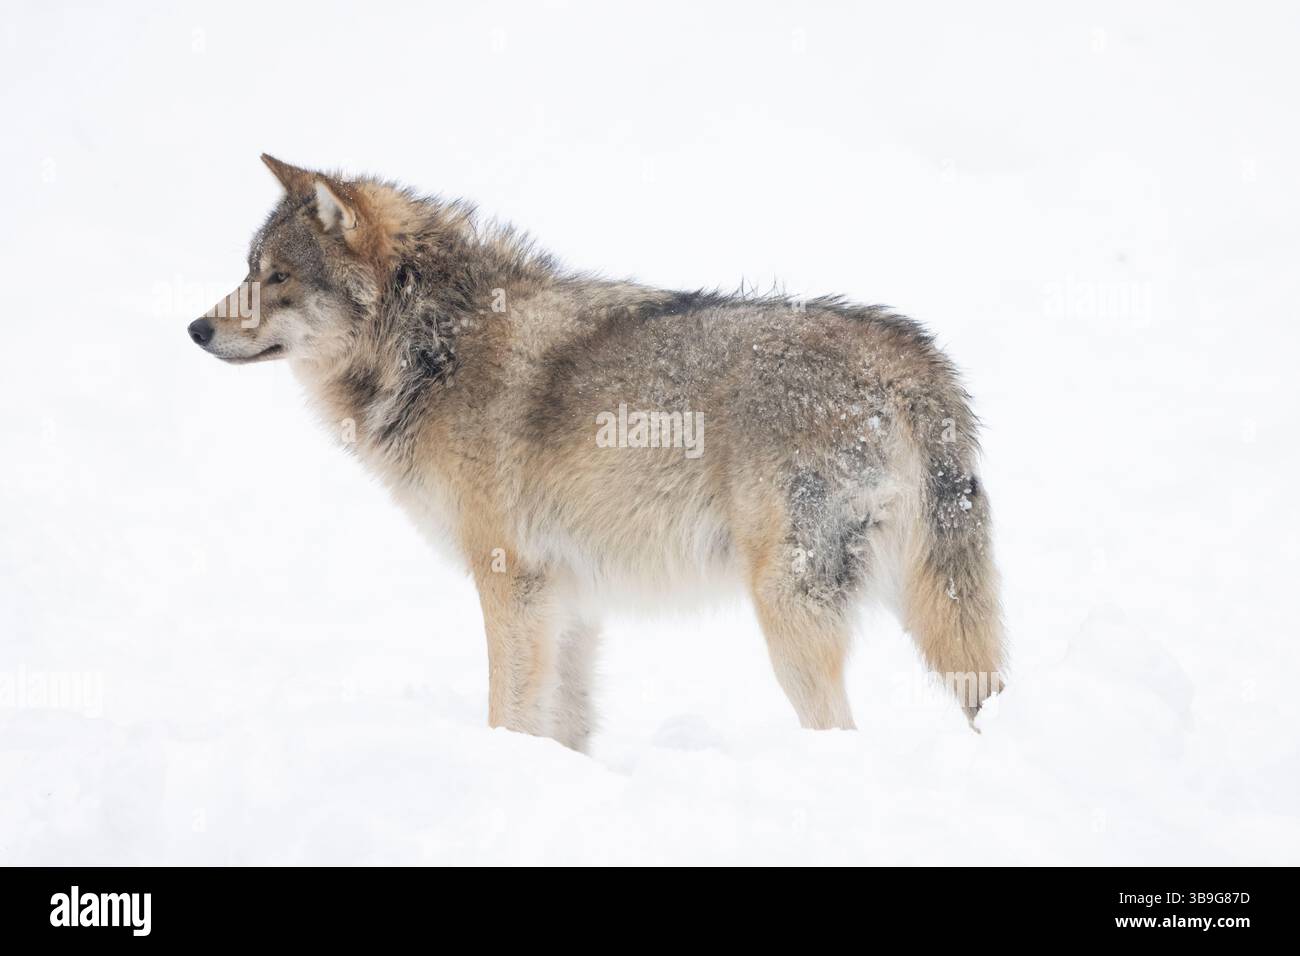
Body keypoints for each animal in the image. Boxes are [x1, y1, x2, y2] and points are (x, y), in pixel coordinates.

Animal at [189, 155, 1006, 751]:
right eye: (249, 270)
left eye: (276, 277)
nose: (196, 328)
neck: (431, 346)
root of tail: (911, 360)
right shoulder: (568, 598)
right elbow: (565, 725)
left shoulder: (508, 580)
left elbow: (507, 711)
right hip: (922, 600)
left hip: (790, 613)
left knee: (841, 727)